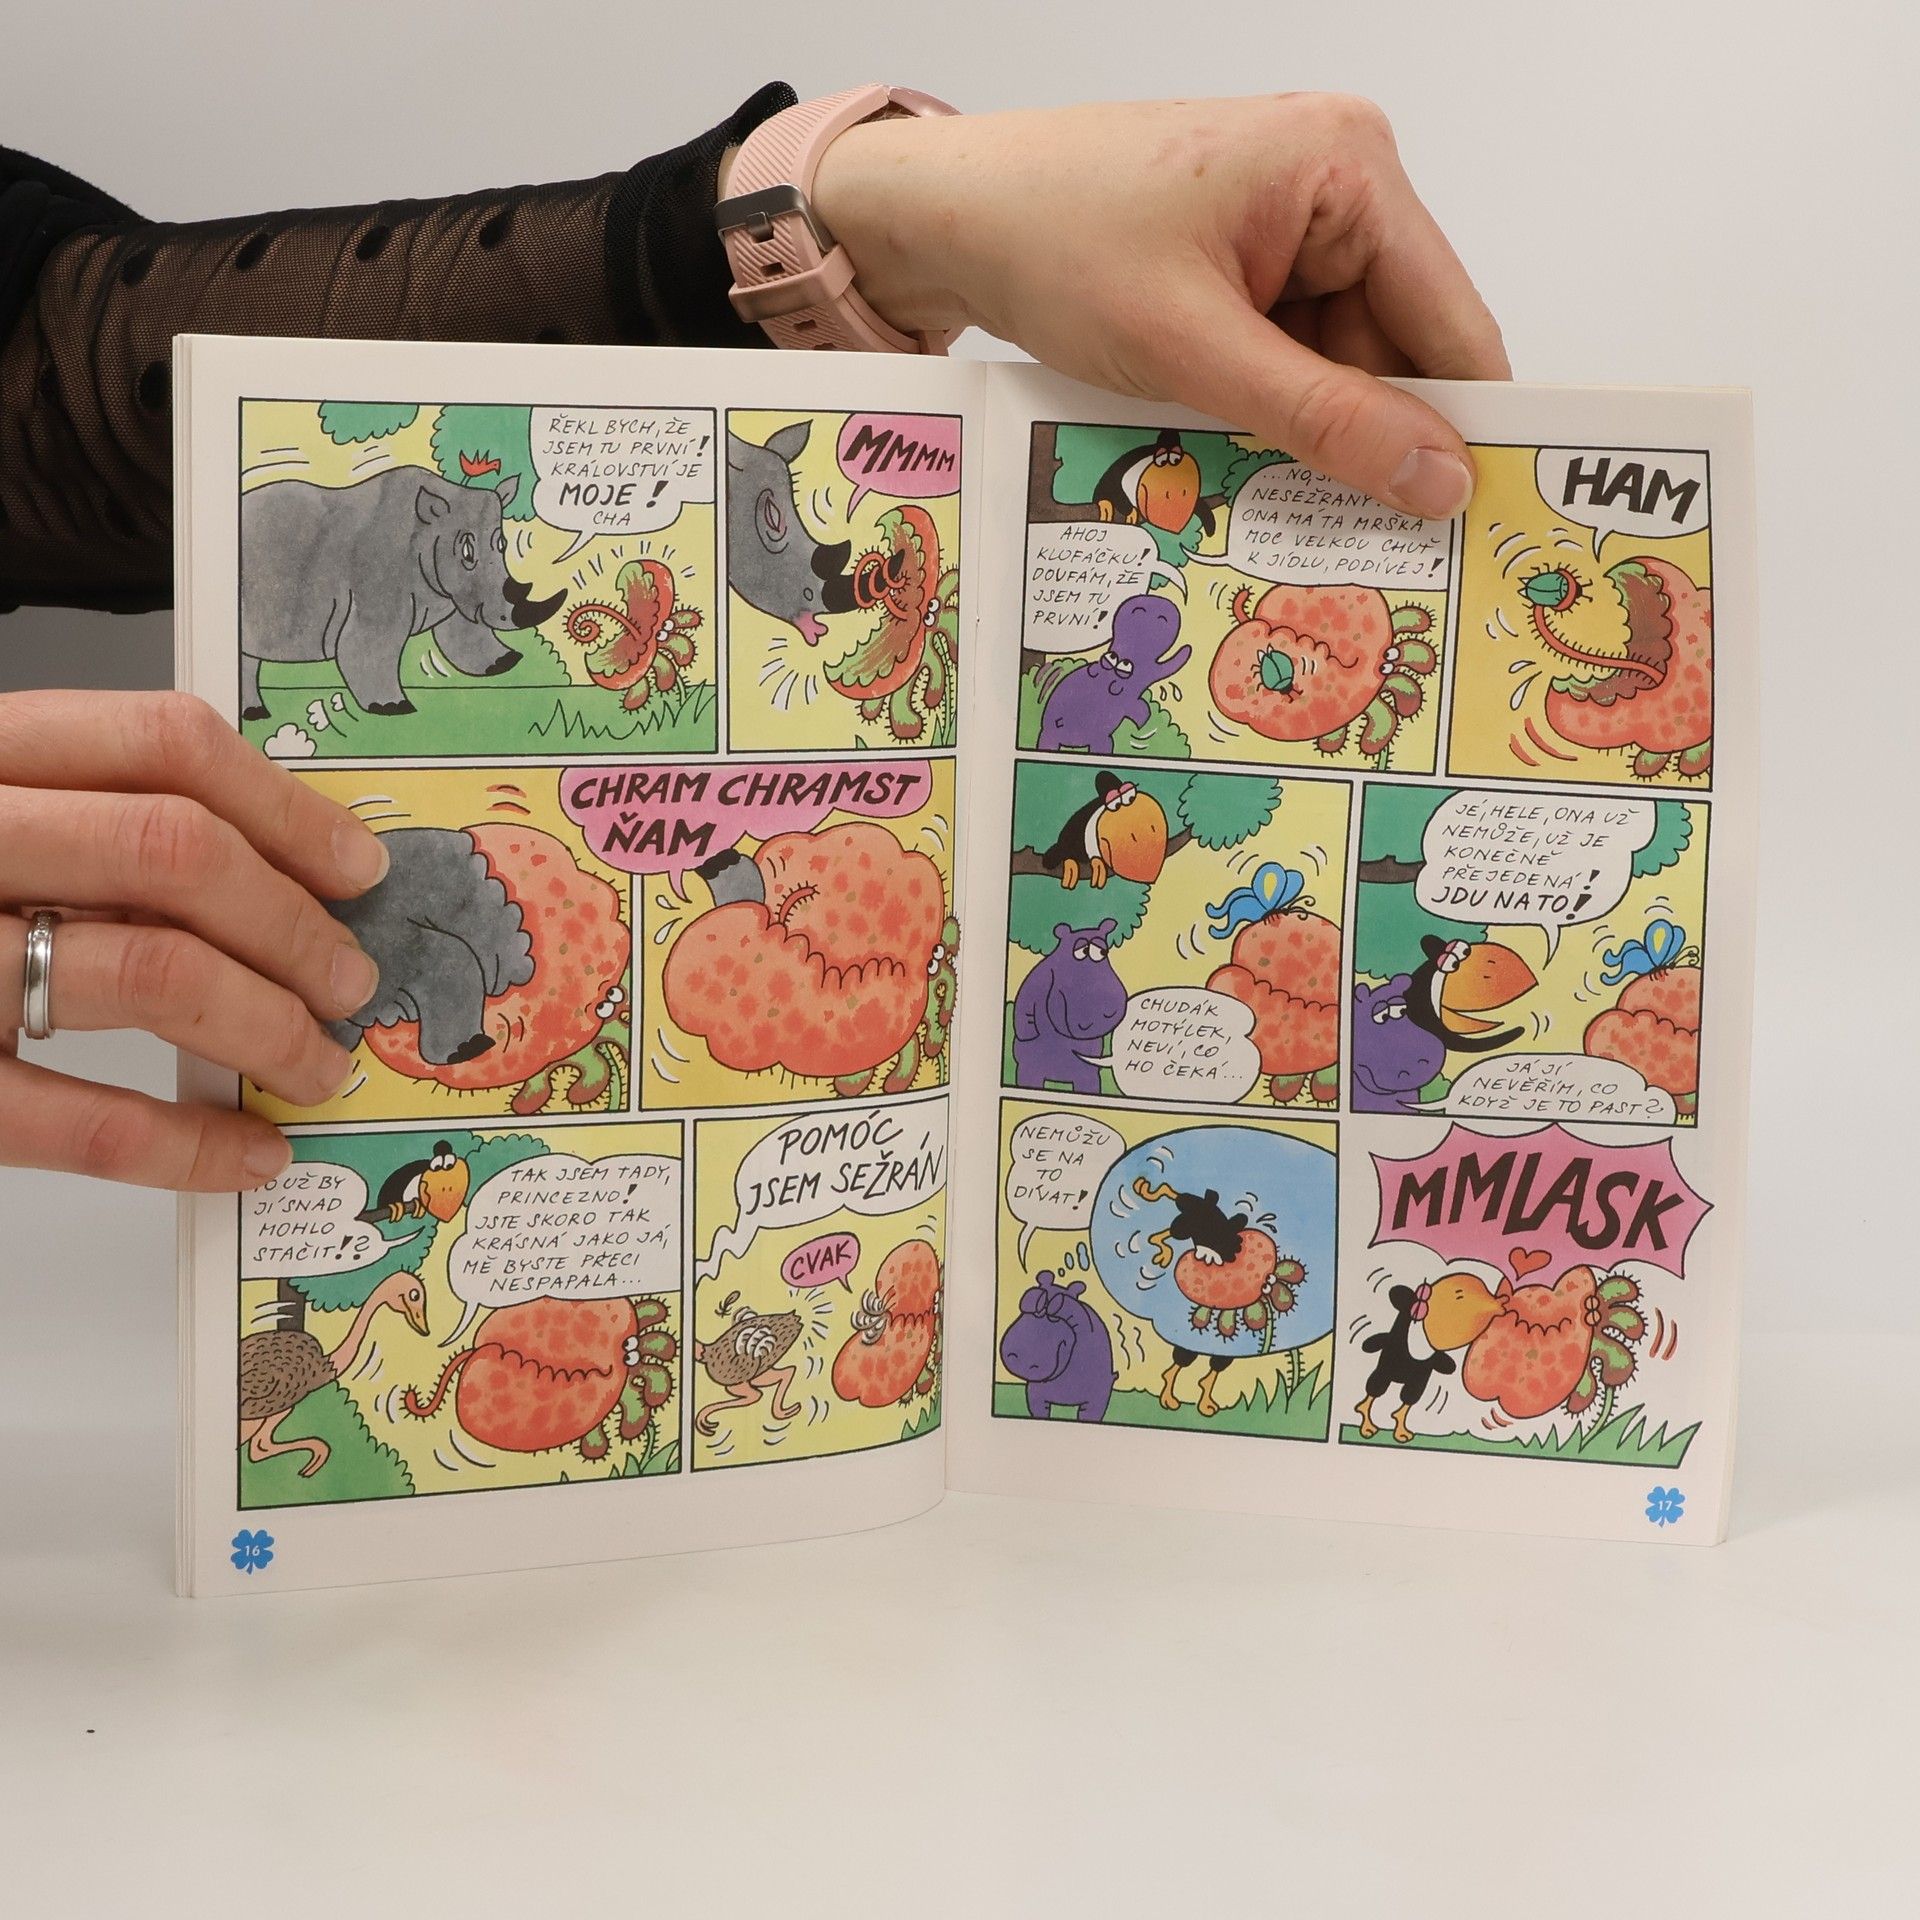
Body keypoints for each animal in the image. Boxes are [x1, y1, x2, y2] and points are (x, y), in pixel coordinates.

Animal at [239, 467, 564, 719]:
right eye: (467, 552)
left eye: (502, 544)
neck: (428, 533)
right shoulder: (378, 591)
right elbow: (370, 649)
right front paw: (392, 707)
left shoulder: (457, 591)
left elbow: (465, 633)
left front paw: (503, 663)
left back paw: (255, 714)